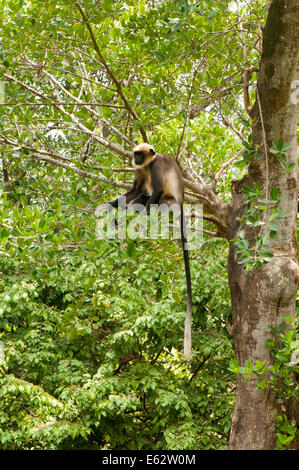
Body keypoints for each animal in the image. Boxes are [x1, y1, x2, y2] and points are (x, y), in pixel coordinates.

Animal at [109, 143, 193, 360]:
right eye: (136, 155)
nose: (137, 159)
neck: (148, 164)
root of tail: (181, 204)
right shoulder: (141, 170)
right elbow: (134, 190)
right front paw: (110, 205)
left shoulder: (154, 167)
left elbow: (157, 190)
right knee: (142, 195)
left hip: (168, 203)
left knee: (153, 198)